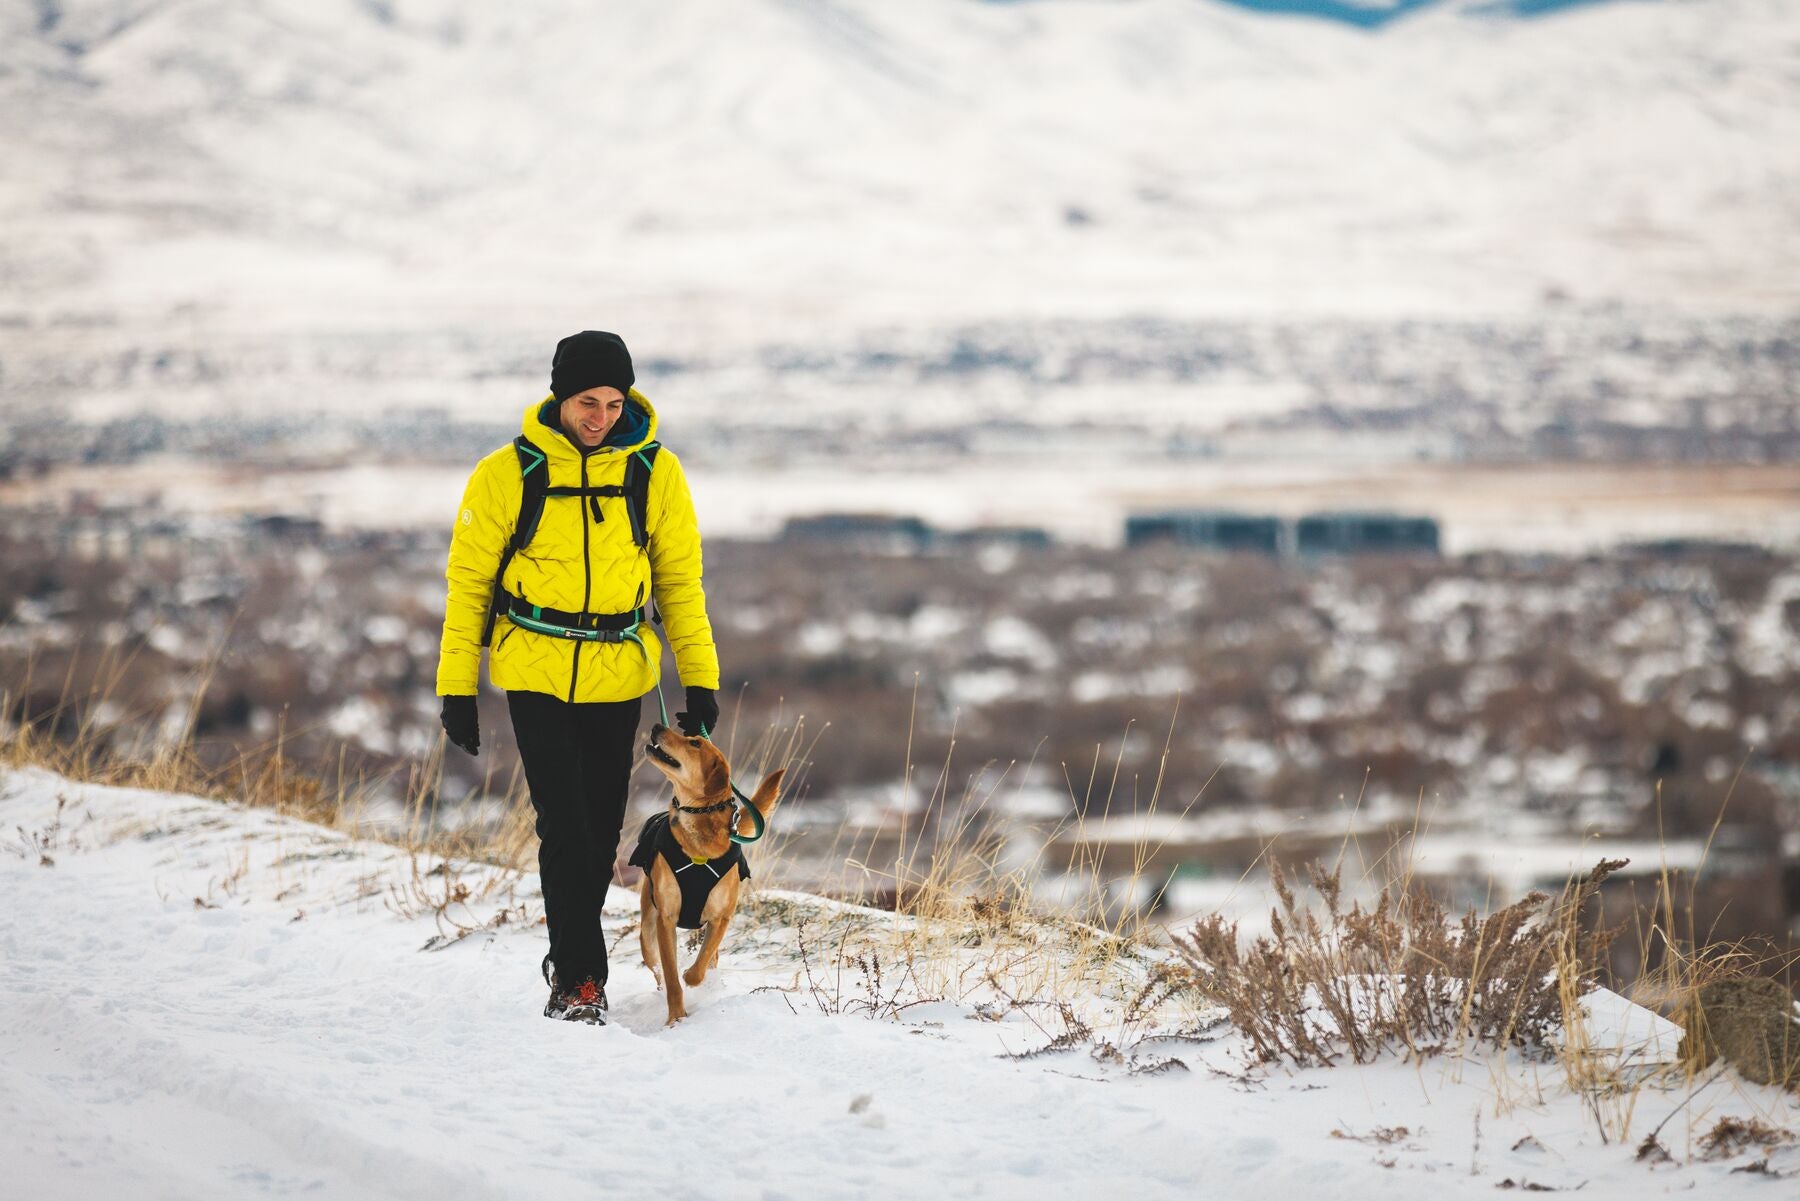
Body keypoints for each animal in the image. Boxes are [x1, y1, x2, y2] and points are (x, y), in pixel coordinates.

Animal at [633, 723, 781, 1022]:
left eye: (695, 743)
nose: (656, 726)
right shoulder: (666, 918)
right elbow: (671, 978)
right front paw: (676, 1018)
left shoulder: (721, 917)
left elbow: (700, 965)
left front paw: (692, 978)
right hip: (648, 930)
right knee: (657, 970)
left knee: (710, 958)